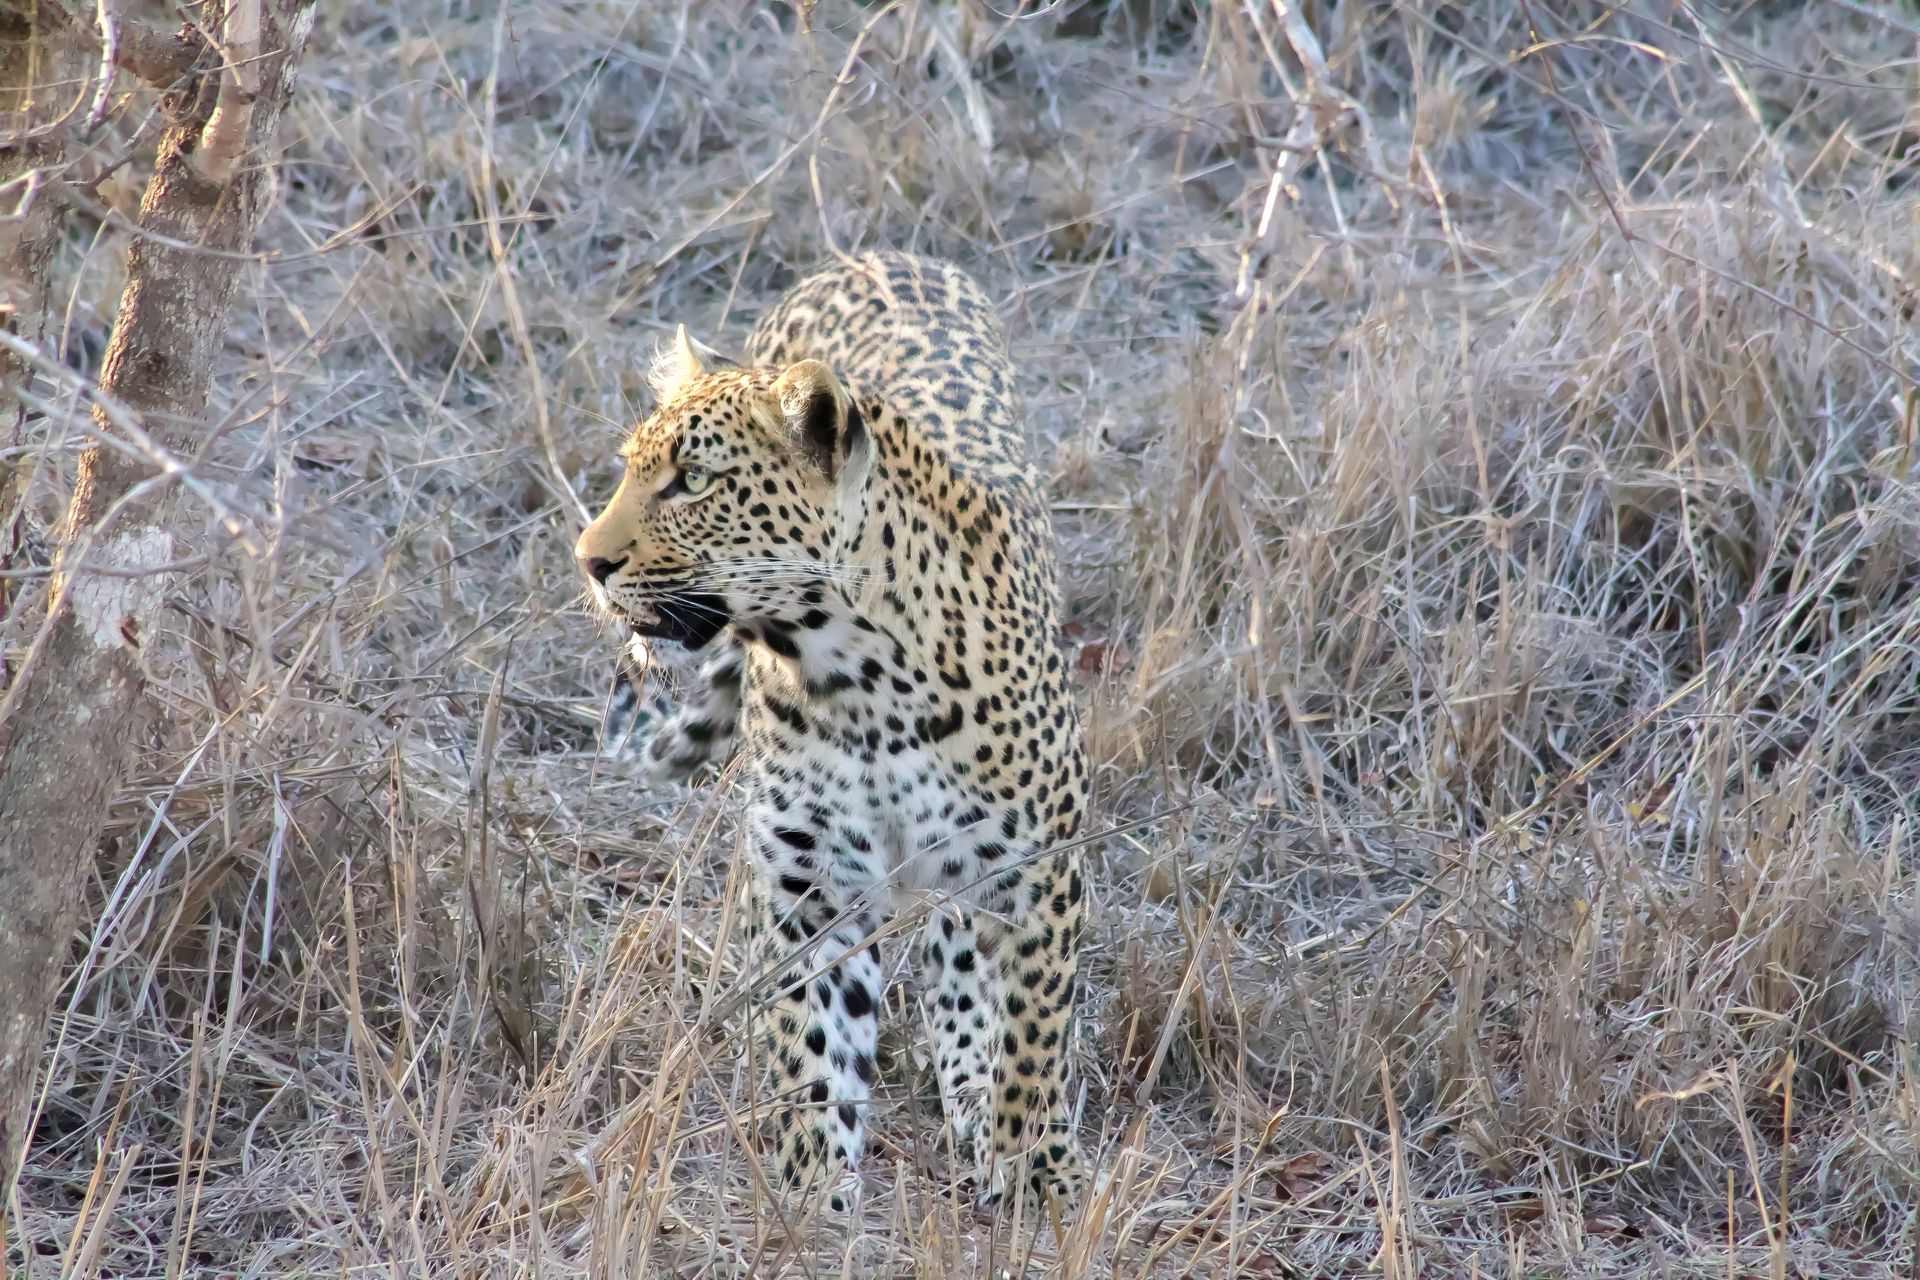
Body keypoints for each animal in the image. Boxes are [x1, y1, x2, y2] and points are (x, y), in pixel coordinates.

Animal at [568, 253, 1090, 1220]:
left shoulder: (1043, 865)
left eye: (693, 481)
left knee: (962, 949)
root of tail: (877, 255)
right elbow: (814, 1046)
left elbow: (1035, 1030)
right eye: (631, 471)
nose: (589, 559)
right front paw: (814, 1201)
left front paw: (1037, 1170)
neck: (858, 676)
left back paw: (971, 1088)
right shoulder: (812, 879)